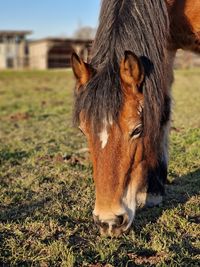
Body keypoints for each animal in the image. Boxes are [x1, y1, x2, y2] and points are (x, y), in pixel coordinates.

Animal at [71, 0, 199, 239]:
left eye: (137, 130)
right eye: (83, 130)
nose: (109, 222)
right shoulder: (164, 46)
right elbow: (162, 111)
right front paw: (153, 191)